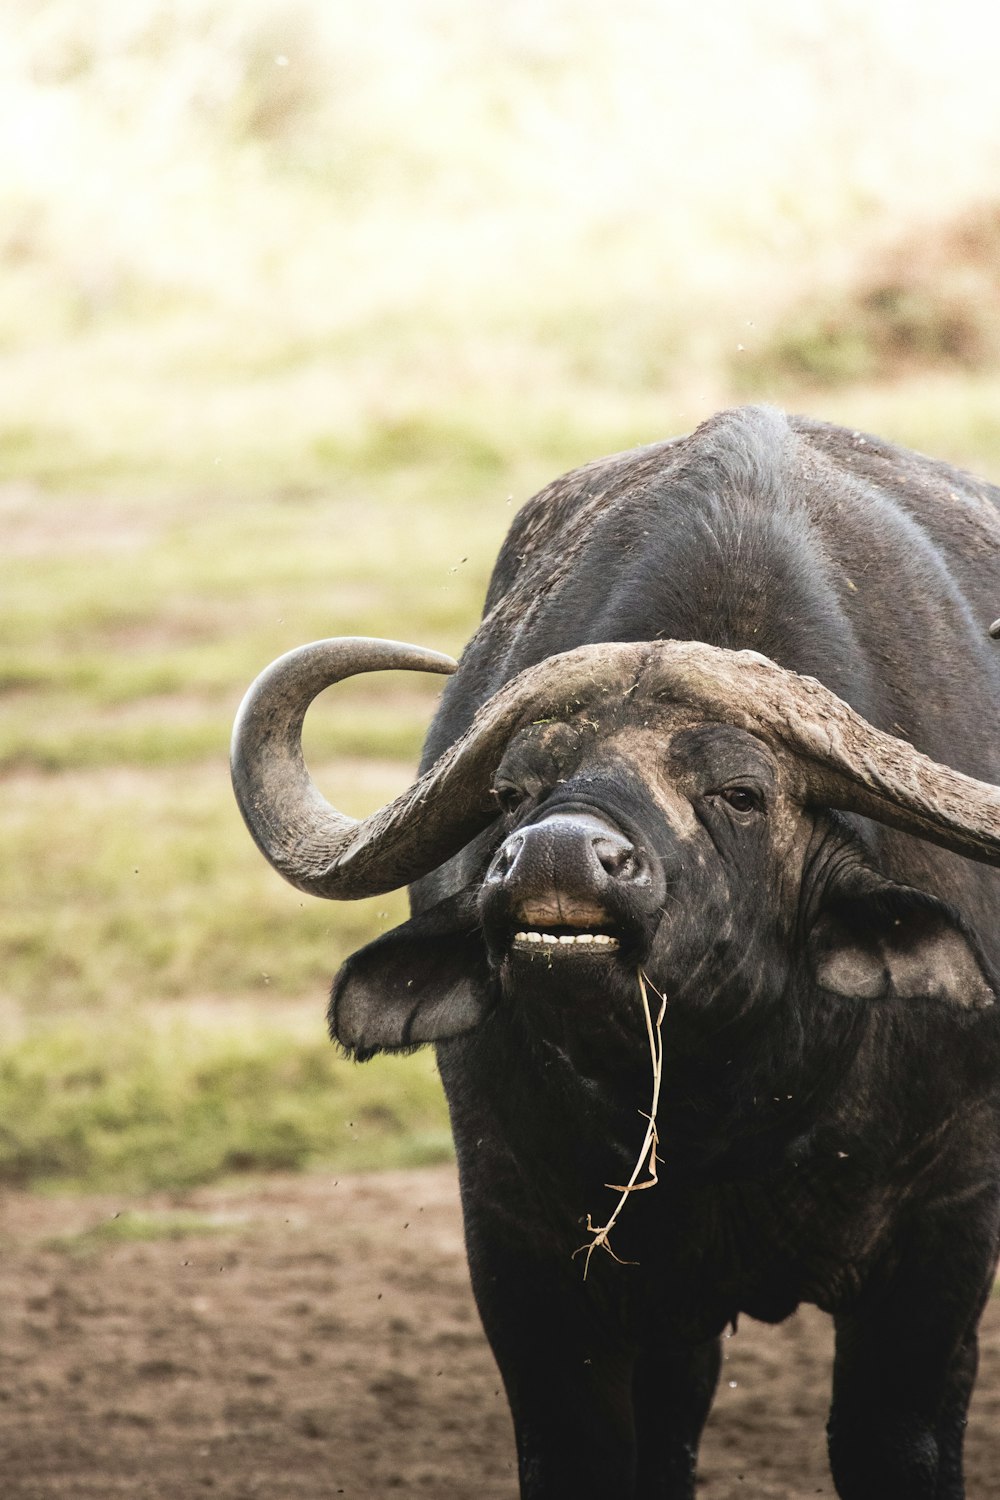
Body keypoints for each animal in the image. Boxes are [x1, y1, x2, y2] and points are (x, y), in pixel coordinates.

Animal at [230, 405, 1000, 1494]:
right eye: (514, 791)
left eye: (739, 791)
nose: (555, 855)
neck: (728, 1110)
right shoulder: (523, 1248)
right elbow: (582, 1449)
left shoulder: (943, 1236)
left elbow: (894, 1441)